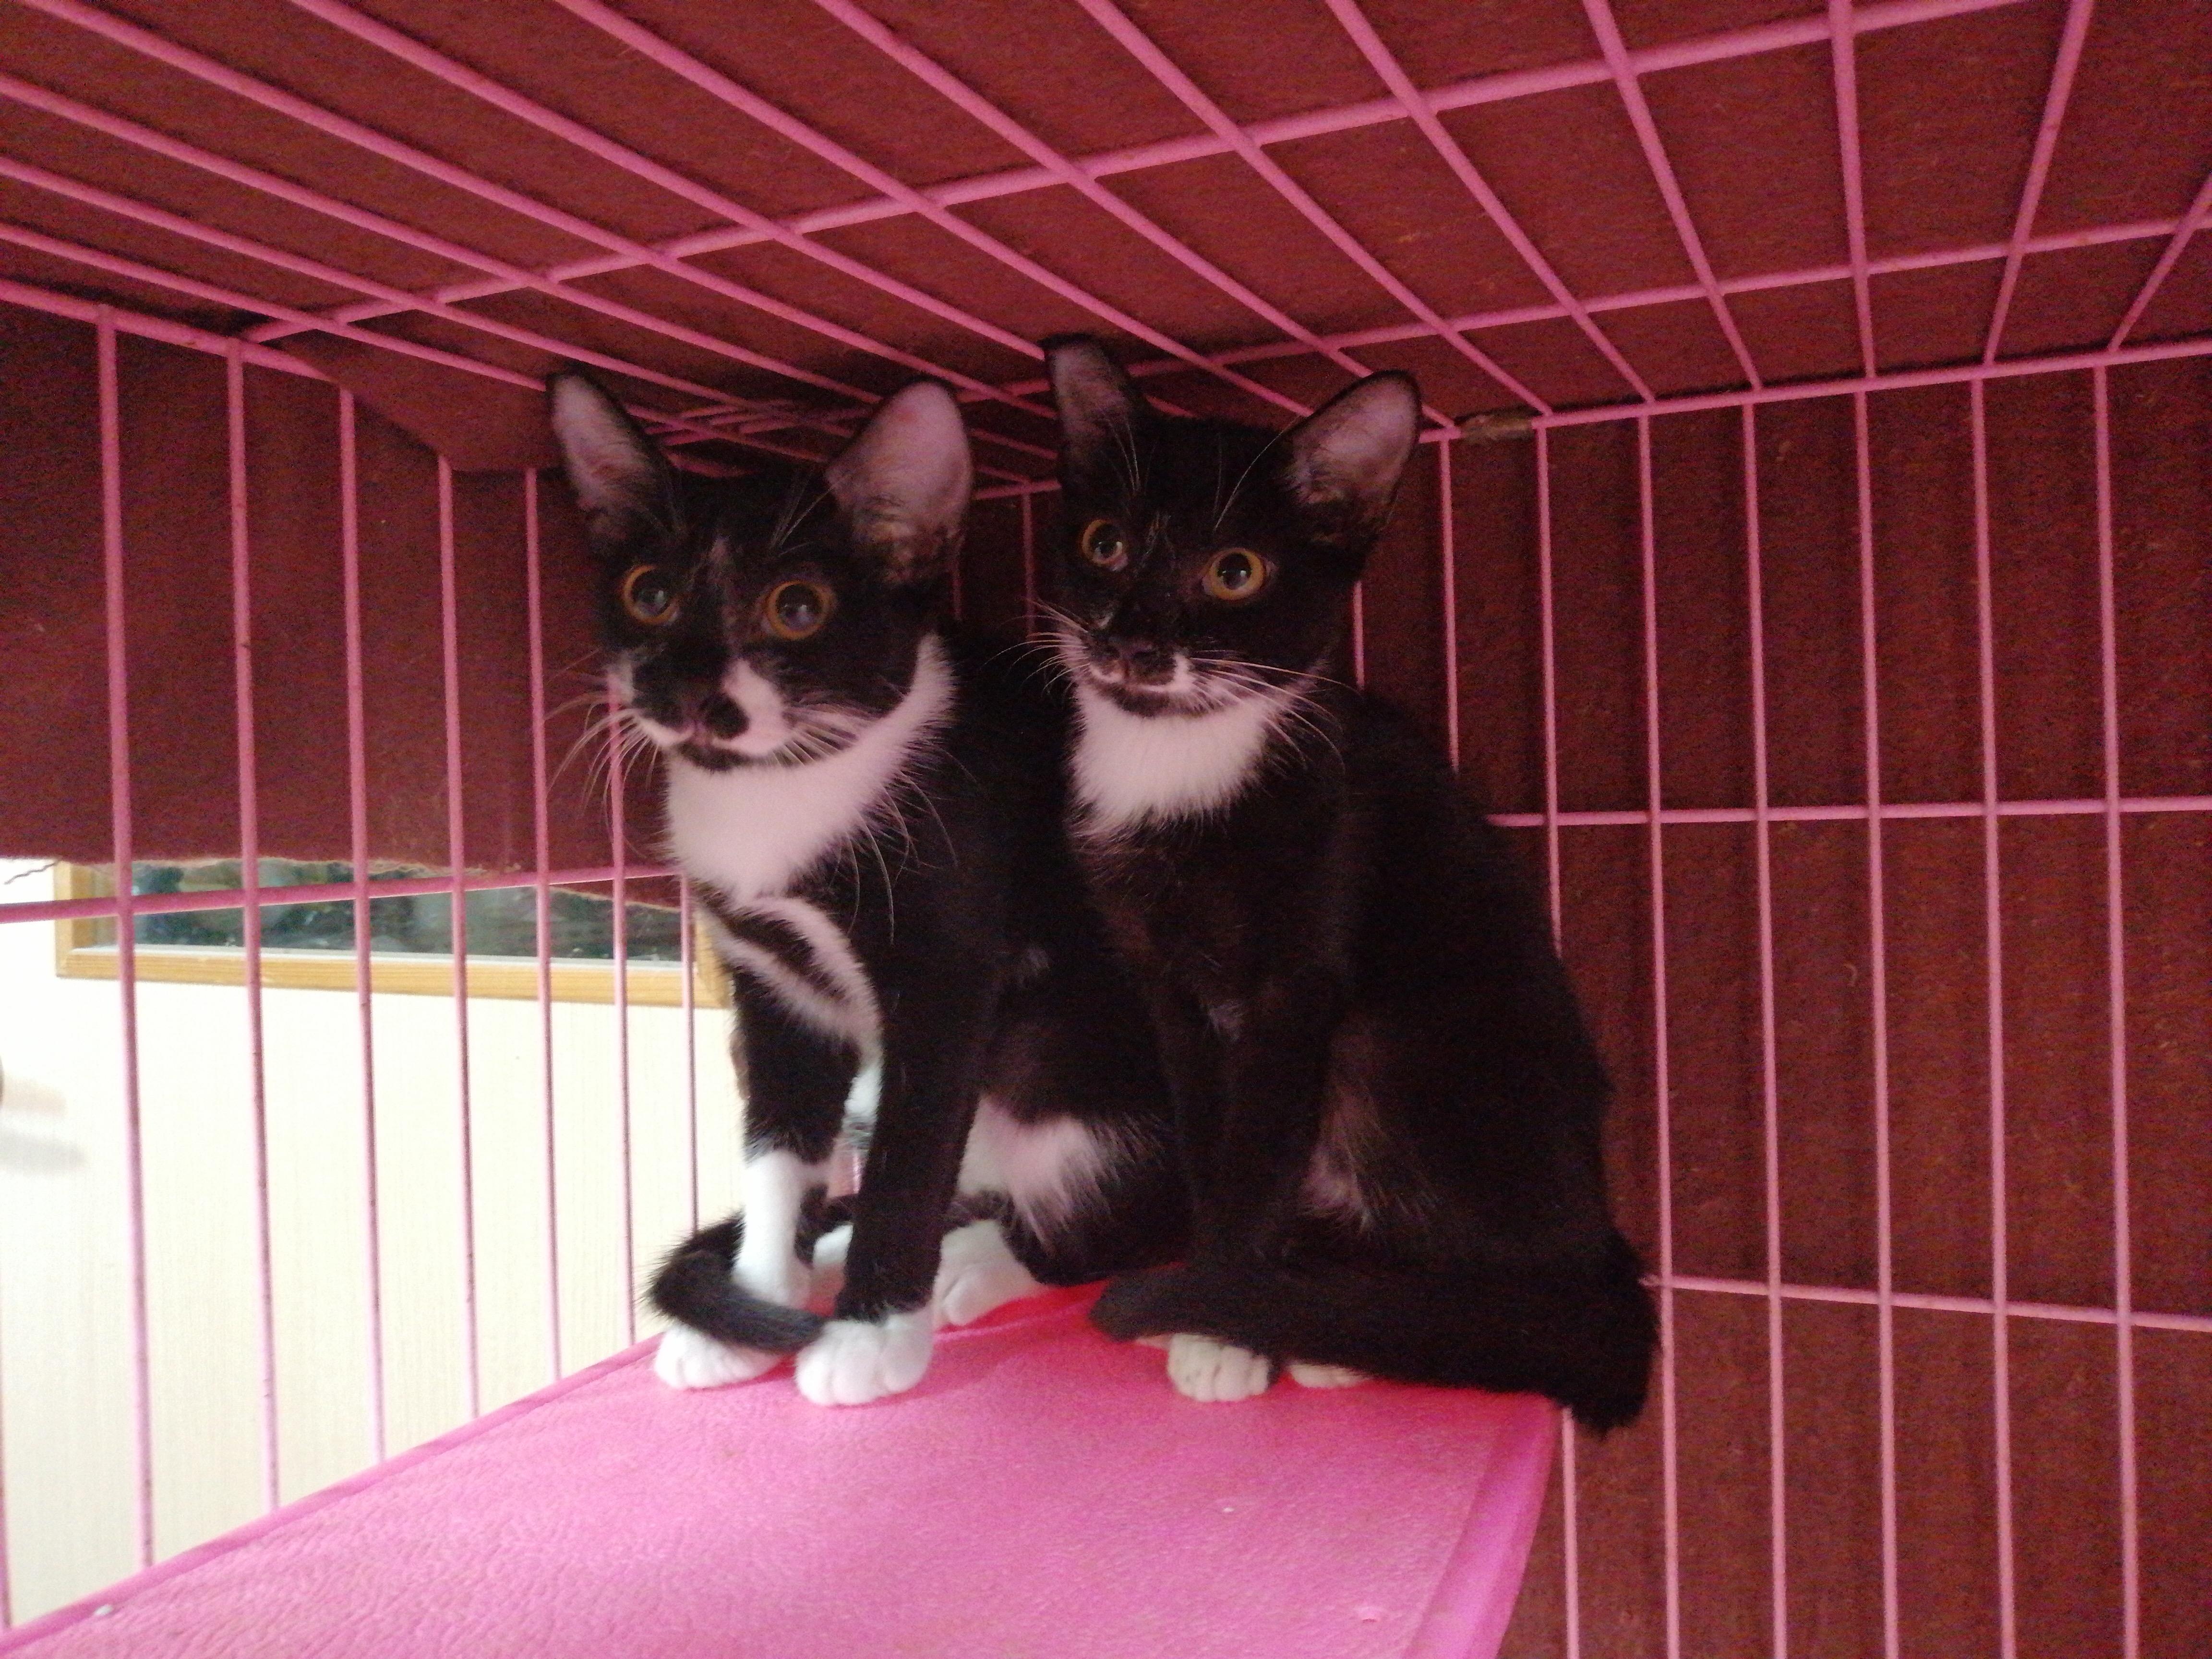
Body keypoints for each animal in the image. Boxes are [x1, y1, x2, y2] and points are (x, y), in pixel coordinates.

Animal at [548, 371, 1186, 1406]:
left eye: (797, 607)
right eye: (649, 595)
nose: (690, 693)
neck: (779, 789)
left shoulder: (950, 969)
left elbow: (908, 1155)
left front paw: (870, 1335)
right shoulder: (772, 982)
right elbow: (776, 1145)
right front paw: (752, 1309)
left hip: (1081, 1073)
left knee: (1118, 1224)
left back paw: (973, 1264)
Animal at [1039, 337, 1656, 1429]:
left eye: (1235, 572)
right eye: (1105, 544)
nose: (1135, 644)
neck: (1178, 768)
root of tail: (1604, 1248)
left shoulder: (1307, 955)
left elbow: (1262, 1152)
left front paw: (1222, 1322)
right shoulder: (1165, 984)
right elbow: (1211, 1140)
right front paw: (1212, 1295)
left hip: (1410, 1046)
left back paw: (1360, 1330)